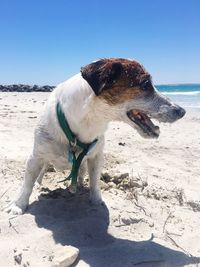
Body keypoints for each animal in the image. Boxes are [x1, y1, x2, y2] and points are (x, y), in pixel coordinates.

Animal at [6, 58, 186, 216]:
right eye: (145, 84)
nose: (182, 111)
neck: (86, 121)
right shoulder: (35, 157)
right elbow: (27, 183)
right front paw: (18, 205)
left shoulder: (96, 157)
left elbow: (95, 181)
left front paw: (96, 200)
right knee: (42, 170)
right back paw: (39, 183)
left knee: (80, 173)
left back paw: (78, 185)